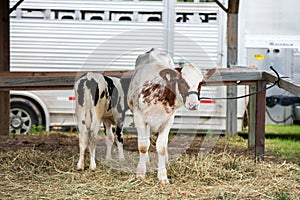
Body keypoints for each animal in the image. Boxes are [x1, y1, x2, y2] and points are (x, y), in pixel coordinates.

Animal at [126, 48, 213, 183]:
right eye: (182, 81)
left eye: (200, 83)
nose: (193, 104)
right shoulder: (139, 118)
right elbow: (143, 146)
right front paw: (140, 173)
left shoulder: (168, 120)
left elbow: (161, 147)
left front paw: (162, 176)